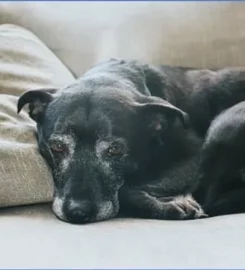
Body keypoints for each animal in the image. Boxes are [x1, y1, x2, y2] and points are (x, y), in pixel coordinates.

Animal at [17, 60, 245, 225]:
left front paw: (170, 206)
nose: (78, 213)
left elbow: (126, 190)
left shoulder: (192, 160)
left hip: (225, 123)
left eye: (114, 149)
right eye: (57, 146)